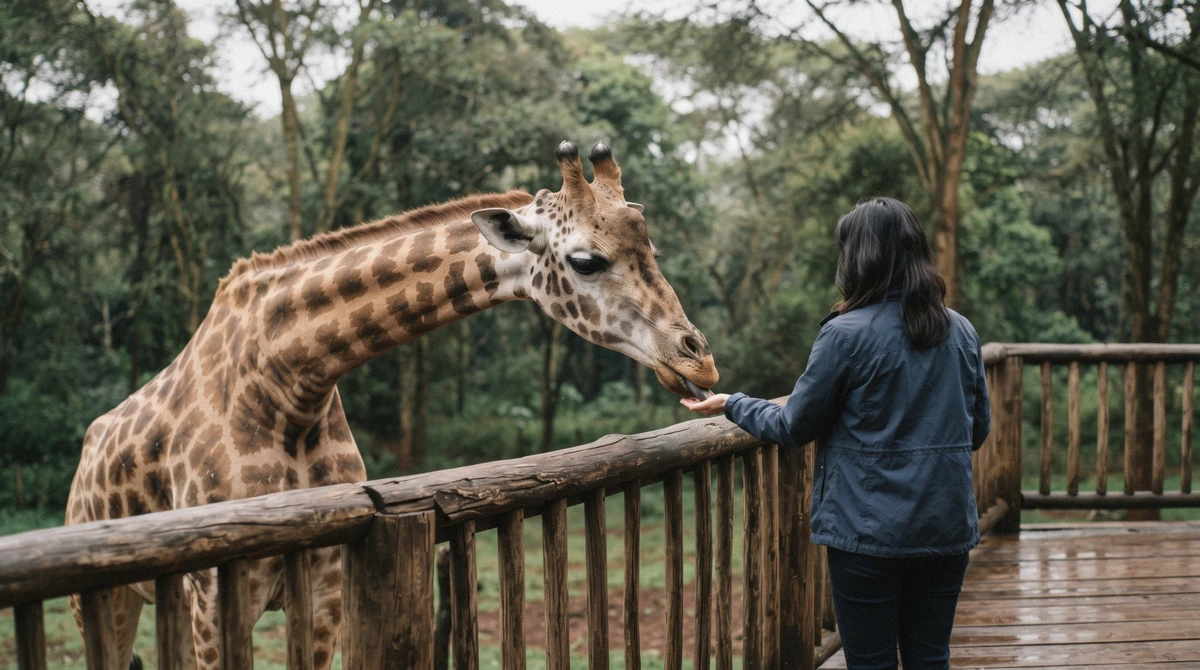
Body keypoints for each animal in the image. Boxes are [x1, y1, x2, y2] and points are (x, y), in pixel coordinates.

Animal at [64, 141, 718, 668]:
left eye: (652, 248)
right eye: (585, 261)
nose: (699, 361)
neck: (287, 383)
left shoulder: (325, 593)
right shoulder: (216, 597)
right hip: (103, 602)